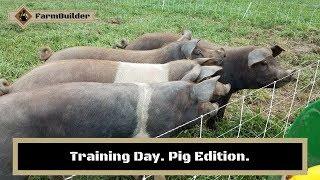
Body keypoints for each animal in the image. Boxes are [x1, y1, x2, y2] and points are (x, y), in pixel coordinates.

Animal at [114, 32, 296, 128]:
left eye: (275, 61)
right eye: (263, 63)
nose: (291, 74)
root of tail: (130, 44)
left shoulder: (229, 91)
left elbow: (223, 107)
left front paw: (219, 124)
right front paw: (211, 127)